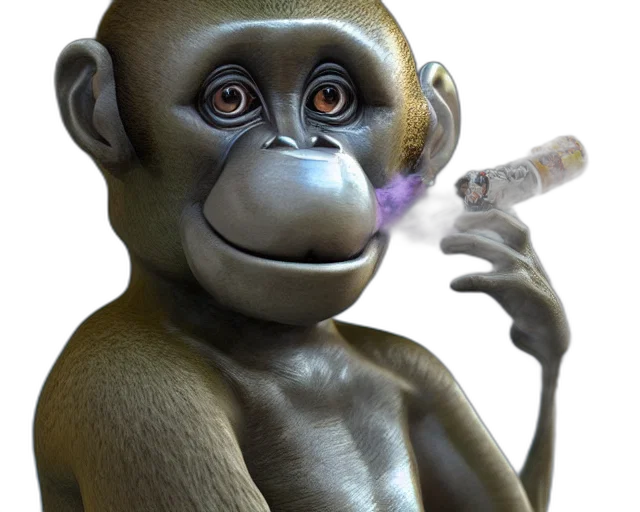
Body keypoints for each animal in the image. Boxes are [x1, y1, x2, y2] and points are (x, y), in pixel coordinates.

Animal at [34, 1, 570, 511]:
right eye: (230, 99)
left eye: (329, 98)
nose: (301, 145)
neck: (290, 353)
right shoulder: (130, 390)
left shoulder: (418, 365)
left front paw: (538, 315)